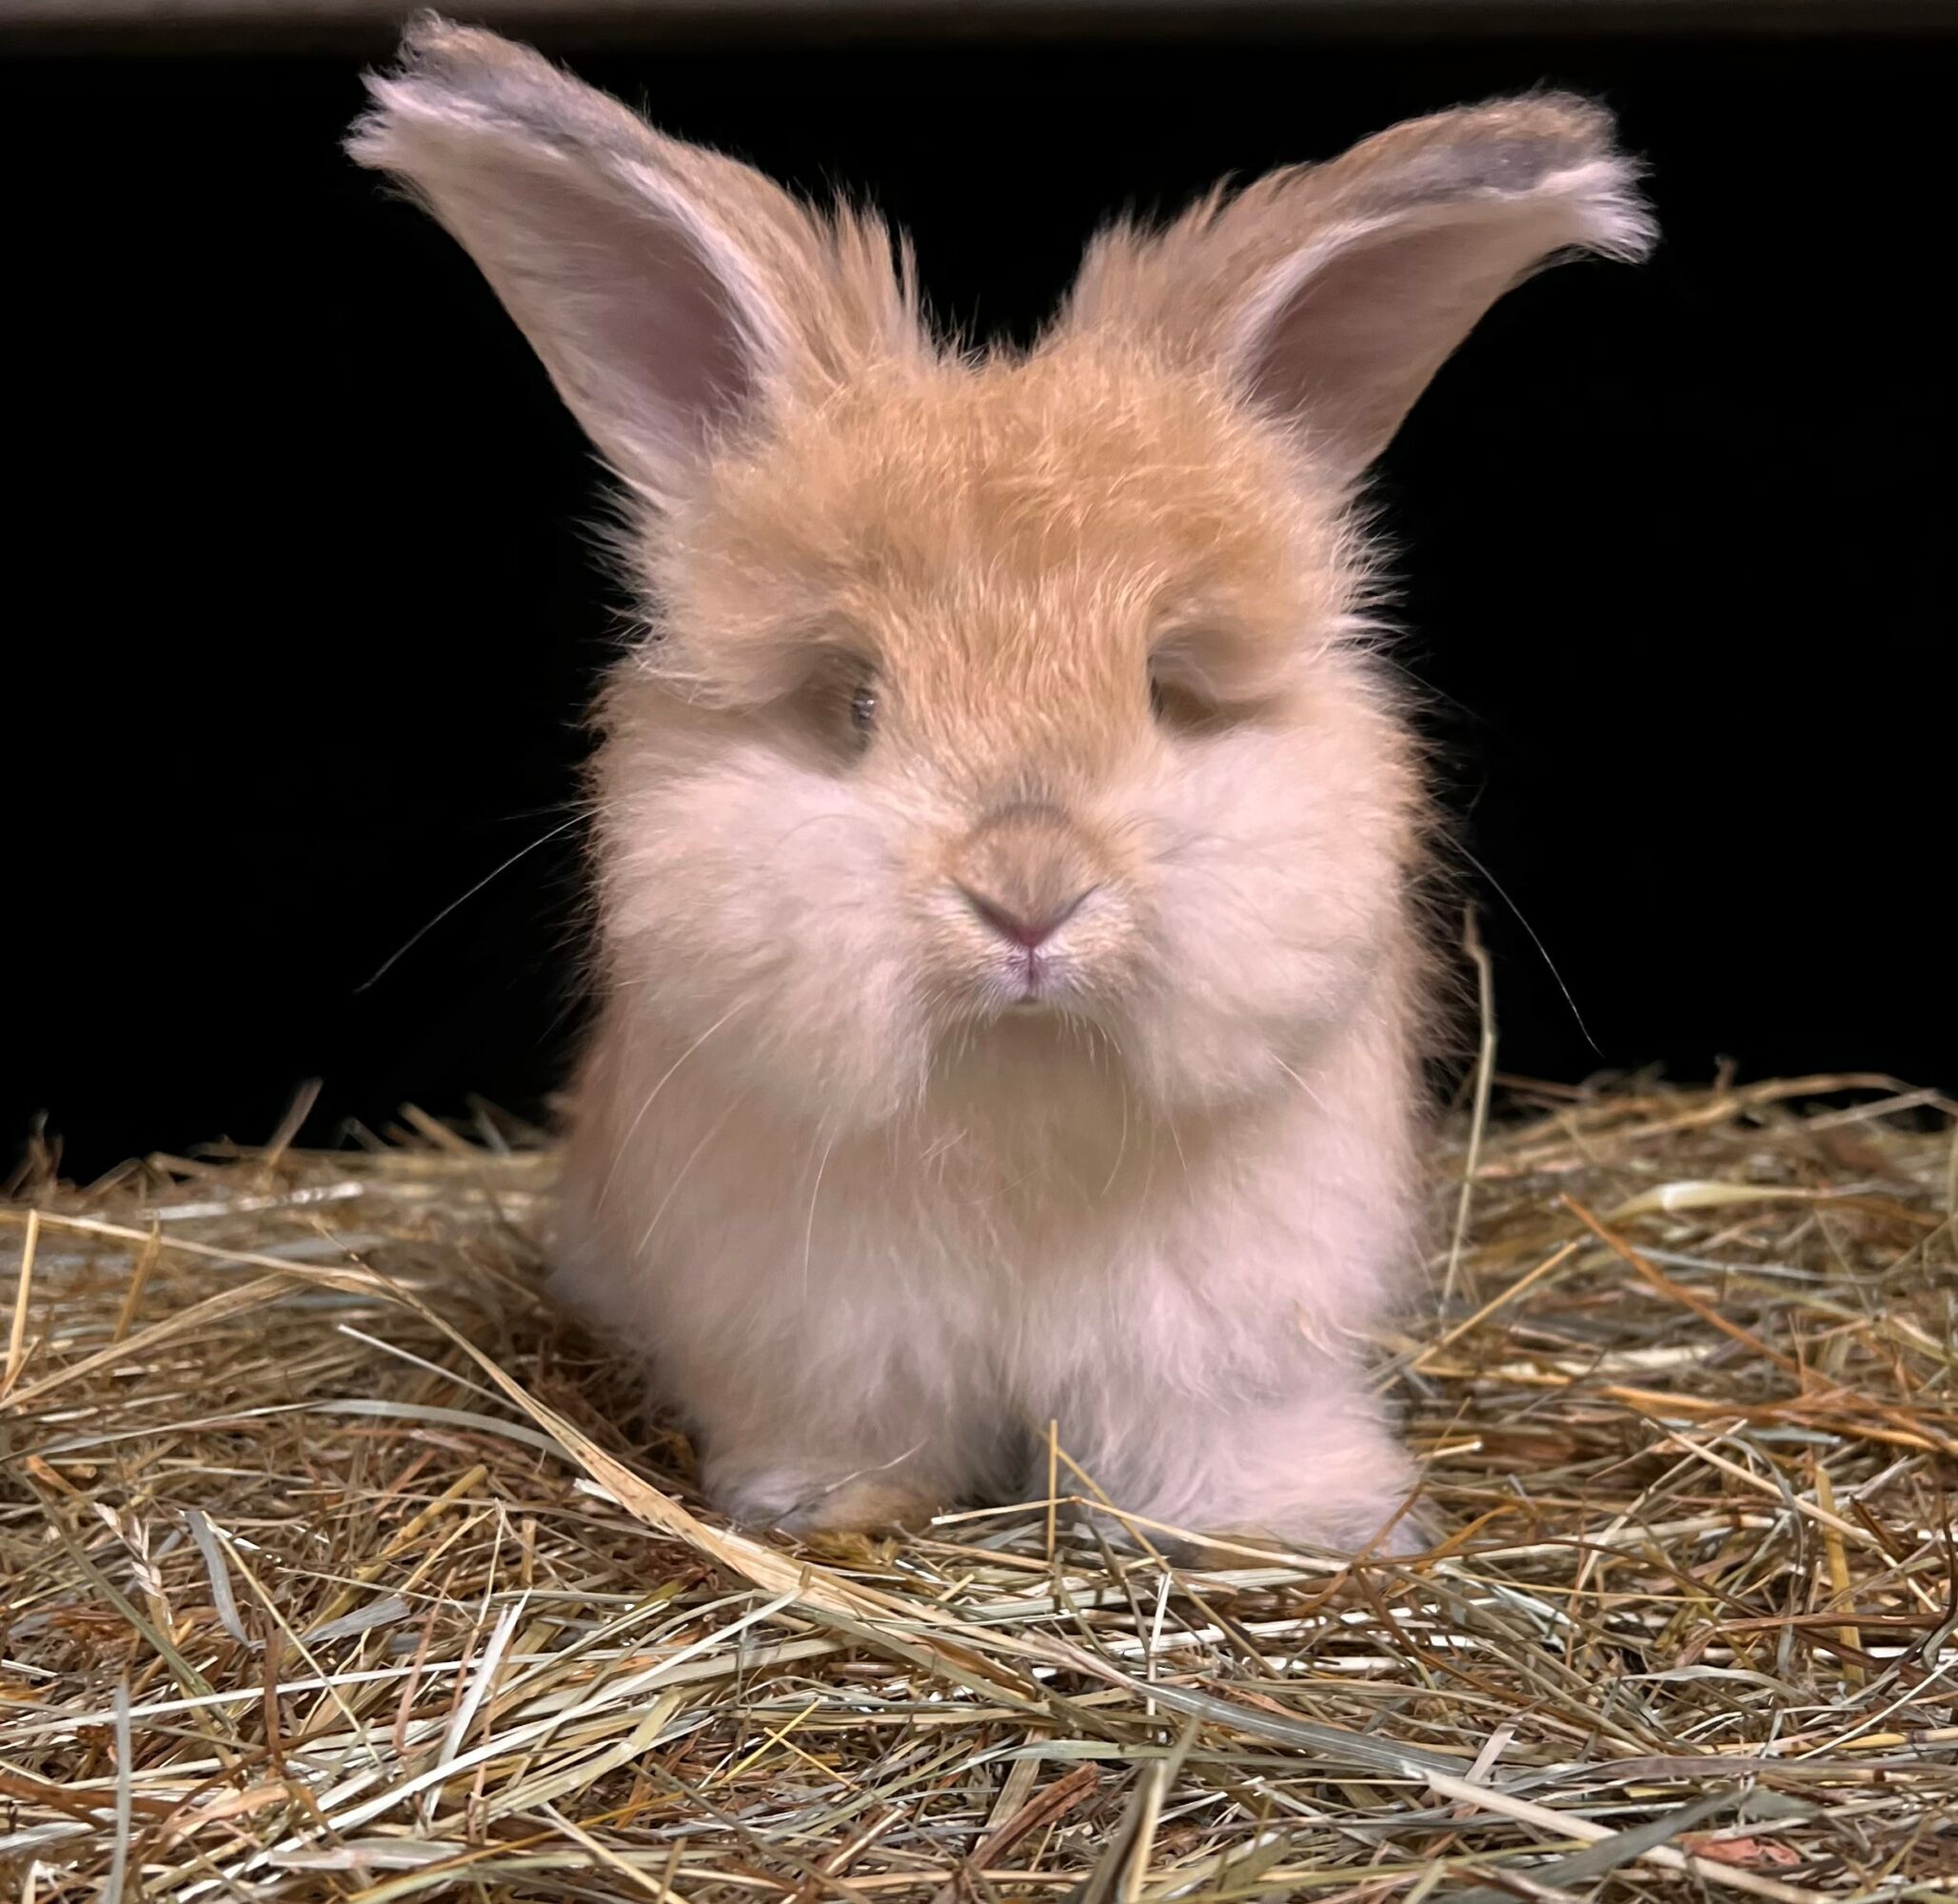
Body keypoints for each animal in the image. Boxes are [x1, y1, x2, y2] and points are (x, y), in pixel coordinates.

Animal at [351, 19, 1651, 1553]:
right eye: (854, 700)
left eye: (1167, 691)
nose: (1028, 895)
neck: (1019, 1082)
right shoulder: (820, 1334)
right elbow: (845, 1430)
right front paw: (823, 1511)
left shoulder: (1221, 1335)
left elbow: (1219, 1432)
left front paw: (1300, 1524)